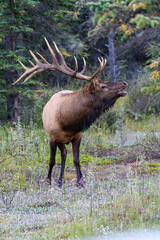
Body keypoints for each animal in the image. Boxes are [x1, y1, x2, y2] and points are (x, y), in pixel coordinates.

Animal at [13, 38, 128, 188]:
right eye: (103, 86)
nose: (124, 83)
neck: (68, 123)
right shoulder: (52, 137)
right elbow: (52, 160)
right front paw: (49, 181)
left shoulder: (78, 136)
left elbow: (76, 159)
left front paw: (80, 181)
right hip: (58, 140)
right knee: (63, 154)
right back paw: (59, 180)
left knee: (66, 154)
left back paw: (67, 179)